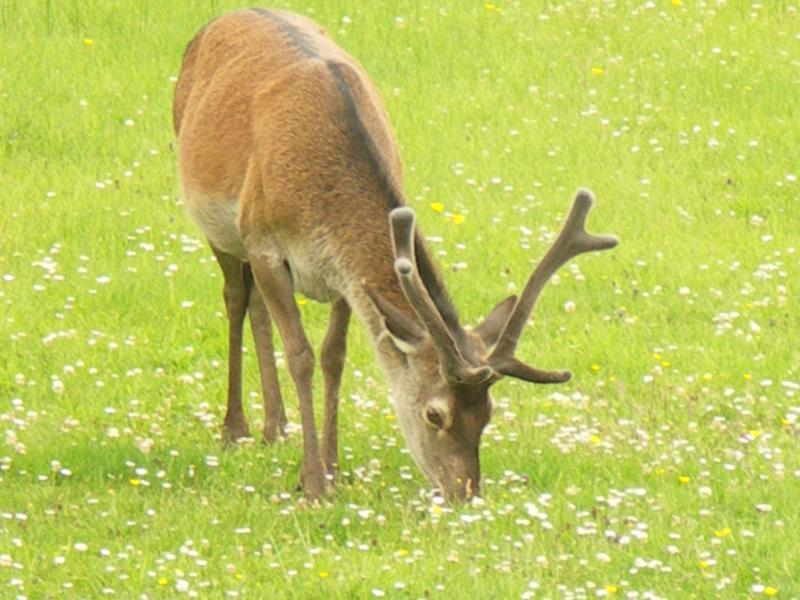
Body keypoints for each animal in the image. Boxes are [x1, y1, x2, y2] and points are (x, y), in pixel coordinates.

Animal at [172, 8, 617, 502]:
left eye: (488, 414)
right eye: (435, 414)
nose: (465, 493)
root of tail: (230, 16)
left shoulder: (343, 277)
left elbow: (333, 356)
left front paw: (332, 469)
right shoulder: (265, 240)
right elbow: (301, 356)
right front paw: (313, 484)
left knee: (256, 305)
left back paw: (277, 426)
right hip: (221, 224)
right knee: (235, 296)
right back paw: (236, 428)